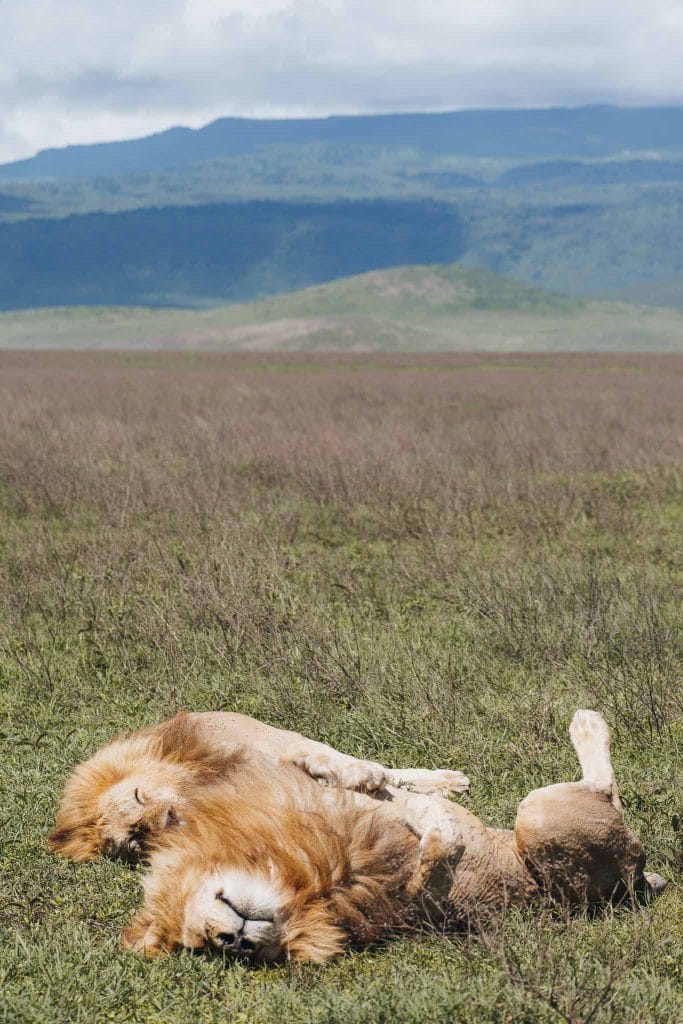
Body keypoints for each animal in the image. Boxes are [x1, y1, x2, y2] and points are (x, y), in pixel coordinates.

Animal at [47, 709, 469, 862]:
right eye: (136, 839)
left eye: (139, 795)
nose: (164, 820)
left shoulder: (266, 745)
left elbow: (326, 757)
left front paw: (358, 775)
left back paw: (447, 781)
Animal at [120, 710, 666, 964]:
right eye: (213, 950)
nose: (233, 940)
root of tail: (636, 880)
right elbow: (433, 849)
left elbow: (333, 766)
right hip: (543, 821)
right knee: (605, 791)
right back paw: (588, 725)